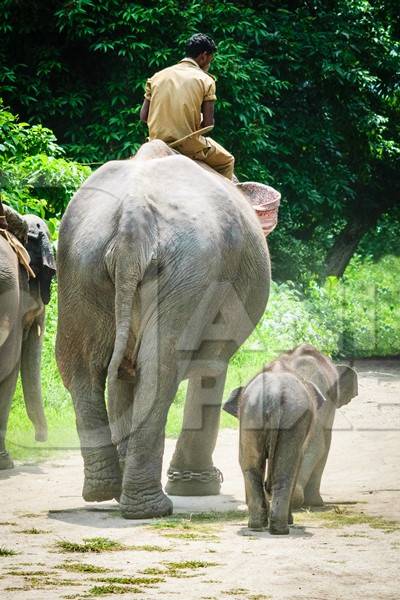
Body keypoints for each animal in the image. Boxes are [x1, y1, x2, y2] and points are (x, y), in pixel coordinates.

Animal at [55, 141, 268, 520]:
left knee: (82, 367)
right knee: (161, 370)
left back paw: (106, 491)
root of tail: (132, 217)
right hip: (191, 270)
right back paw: (149, 507)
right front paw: (199, 488)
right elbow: (211, 368)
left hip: (80, 265)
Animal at [223, 344, 358, 536]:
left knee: (250, 467)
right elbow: (321, 449)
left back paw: (256, 525)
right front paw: (315, 504)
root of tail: (273, 394)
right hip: (292, 417)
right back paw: (282, 527)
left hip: (252, 413)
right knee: (289, 467)